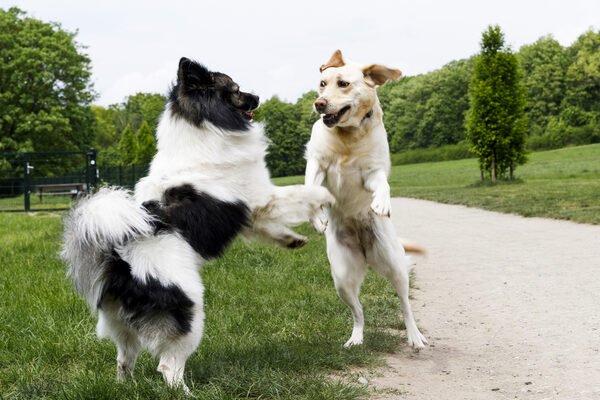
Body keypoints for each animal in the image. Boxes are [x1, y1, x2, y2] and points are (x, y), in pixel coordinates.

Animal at [61, 57, 336, 392]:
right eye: (235, 90)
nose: (258, 98)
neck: (201, 130)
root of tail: (119, 264)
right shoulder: (262, 196)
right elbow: (306, 192)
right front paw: (325, 207)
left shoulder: (251, 213)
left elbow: (271, 229)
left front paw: (294, 239)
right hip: (189, 312)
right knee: (168, 367)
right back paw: (187, 393)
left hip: (123, 328)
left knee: (124, 360)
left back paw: (126, 386)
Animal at [304, 50, 426, 348]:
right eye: (322, 83)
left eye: (344, 84)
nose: (319, 104)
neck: (347, 136)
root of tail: (365, 253)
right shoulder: (316, 164)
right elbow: (309, 188)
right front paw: (317, 219)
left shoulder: (371, 173)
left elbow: (382, 183)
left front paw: (382, 202)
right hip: (341, 279)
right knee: (358, 313)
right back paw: (356, 339)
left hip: (396, 267)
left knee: (405, 306)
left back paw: (414, 336)